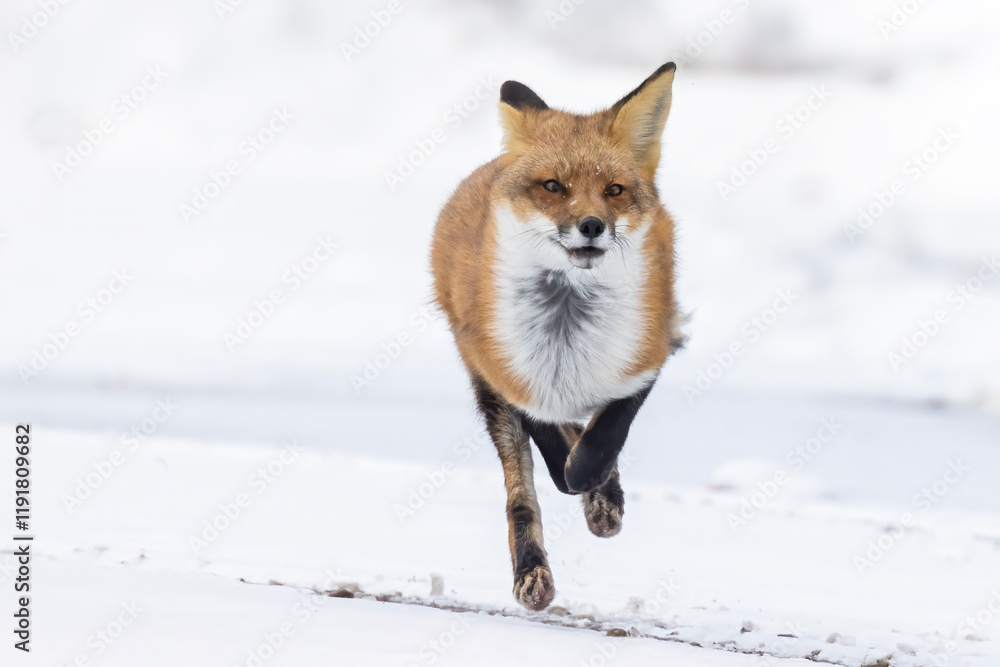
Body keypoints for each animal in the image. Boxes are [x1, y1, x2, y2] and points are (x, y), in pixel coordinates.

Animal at [430, 63, 684, 611]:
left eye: (613, 190)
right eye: (553, 186)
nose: (591, 225)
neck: (566, 334)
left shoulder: (646, 357)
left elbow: (605, 435)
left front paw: (594, 482)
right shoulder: (506, 374)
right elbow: (548, 453)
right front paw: (583, 485)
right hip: (490, 392)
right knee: (524, 491)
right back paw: (534, 565)